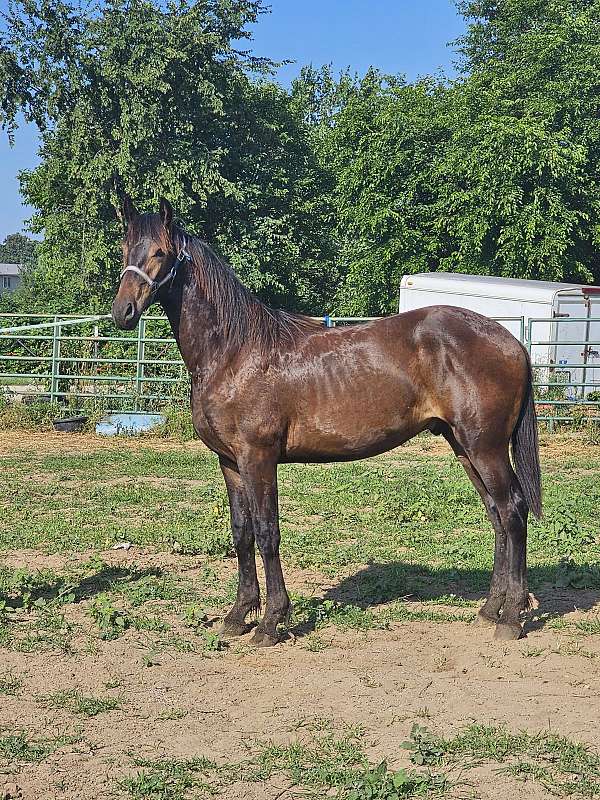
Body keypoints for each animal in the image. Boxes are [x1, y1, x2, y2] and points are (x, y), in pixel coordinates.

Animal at [112, 197, 542, 646]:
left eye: (160, 252)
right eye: (124, 250)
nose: (123, 312)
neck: (233, 351)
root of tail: (511, 342)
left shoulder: (257, 458)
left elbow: (267, 532)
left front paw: (271, 622)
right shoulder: (229, 462)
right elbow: (241, 532)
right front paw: (238, 615)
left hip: (486, 448)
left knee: (513, 511)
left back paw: (511, 618)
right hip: (463, 446)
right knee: (497, 515)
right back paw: (489, 611)